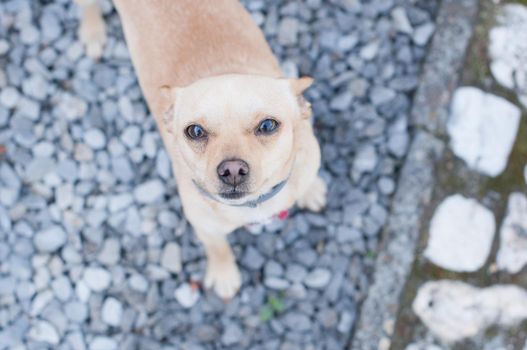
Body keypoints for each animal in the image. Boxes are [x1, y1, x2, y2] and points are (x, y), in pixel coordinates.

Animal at [76, 0, 328, 298]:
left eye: (268, 125)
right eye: (195, 131)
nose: (232, 170)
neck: (253, 206)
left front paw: (311, 190)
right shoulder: (205, 227)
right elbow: (218, 249)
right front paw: (224, 275)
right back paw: (93, 32)